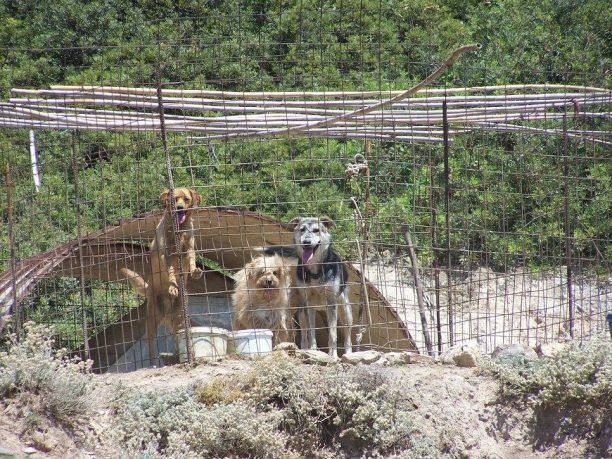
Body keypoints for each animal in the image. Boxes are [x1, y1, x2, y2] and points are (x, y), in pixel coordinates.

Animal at [262, 217, 354, 358]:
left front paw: (333, 355)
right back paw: (304, 349)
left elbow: (333, 334)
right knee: (305, 333)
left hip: (345, 311)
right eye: (302, 229)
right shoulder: (308, 304)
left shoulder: (331, 303)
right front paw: (313, 350)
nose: (306, 242)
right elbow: (312, 332)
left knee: (347, 334)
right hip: (302, 313)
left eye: (316, 230)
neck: (315, 270)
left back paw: (349, 353)